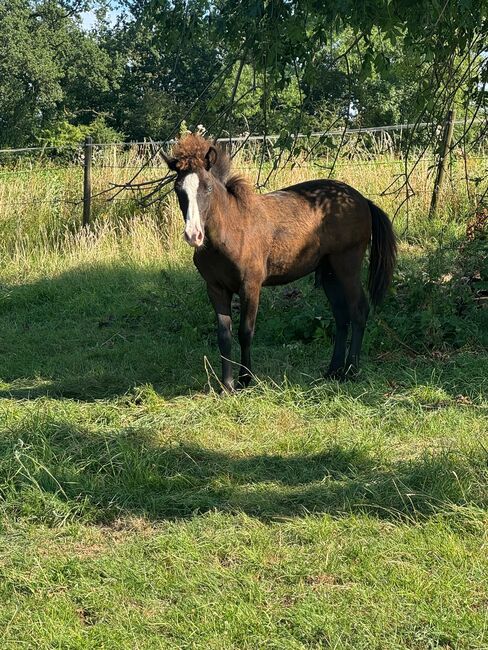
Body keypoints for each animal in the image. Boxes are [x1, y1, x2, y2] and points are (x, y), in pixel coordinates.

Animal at [162, 133, 396, 391]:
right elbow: (224, 336)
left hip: (347, 266)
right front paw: (227, 386)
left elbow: (245, 331)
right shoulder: (215, 288)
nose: (193, 235)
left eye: (208, 187)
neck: (230, 232)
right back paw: (333, 371)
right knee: (341, 316)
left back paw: (352, 370)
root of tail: (363, 200)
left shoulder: (250, 285)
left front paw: (246, 379)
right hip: (329, 272)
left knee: (358, 310)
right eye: (178, 189)